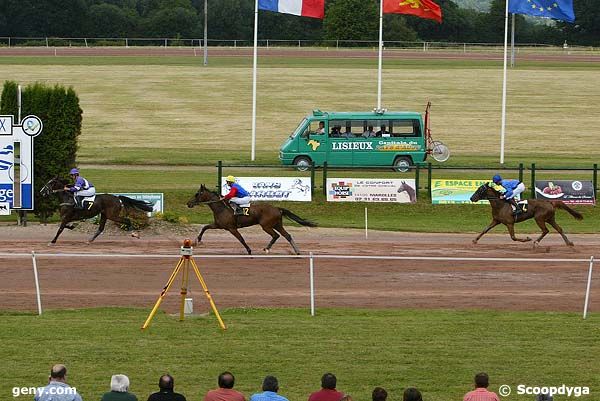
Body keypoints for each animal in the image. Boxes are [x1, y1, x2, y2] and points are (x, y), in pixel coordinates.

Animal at [188, 184, 318, 253]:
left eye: (197, 194)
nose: (188, 203)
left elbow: (241, 239)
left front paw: (249, 250)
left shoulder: (232, 228)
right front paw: (198, 239)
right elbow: (205, 227)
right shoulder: (219, 225)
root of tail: (277, 208)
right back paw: (297, 251)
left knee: (276, 235)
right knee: (287, 235)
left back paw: (267, 248)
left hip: (266, 225)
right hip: (277, 224)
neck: (221, 208)